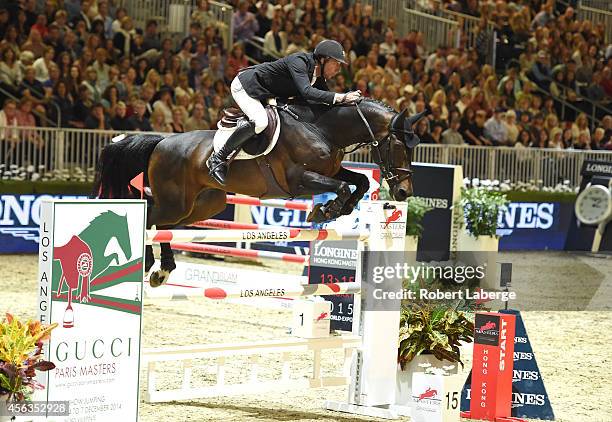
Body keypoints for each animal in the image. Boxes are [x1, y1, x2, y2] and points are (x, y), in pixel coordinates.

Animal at [93, 97, 426, 286]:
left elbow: (360, 182)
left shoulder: (329, 171)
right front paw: (325, 210)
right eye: (399, 146)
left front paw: (334, 210)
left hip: (201, 206)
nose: (403, 192)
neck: (324, 129)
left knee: (162, 225)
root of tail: (160, 142)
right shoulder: (300, 179)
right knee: (151, 217)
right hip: (176, 202)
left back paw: (163, 269)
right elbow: (344, 186)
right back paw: (153, 266)